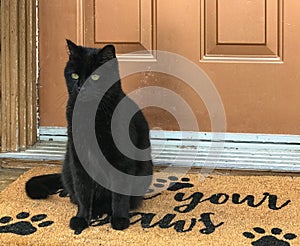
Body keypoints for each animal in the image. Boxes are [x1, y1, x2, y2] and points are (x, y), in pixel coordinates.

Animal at [25, 39, 152, 234]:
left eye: (95, 77)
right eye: (75, 75)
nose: (81, 87)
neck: (89, 114)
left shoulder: (121, 161)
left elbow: (119, 194)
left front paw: (120, 219)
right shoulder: (79, 160)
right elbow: (83, 191)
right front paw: (81, 218)